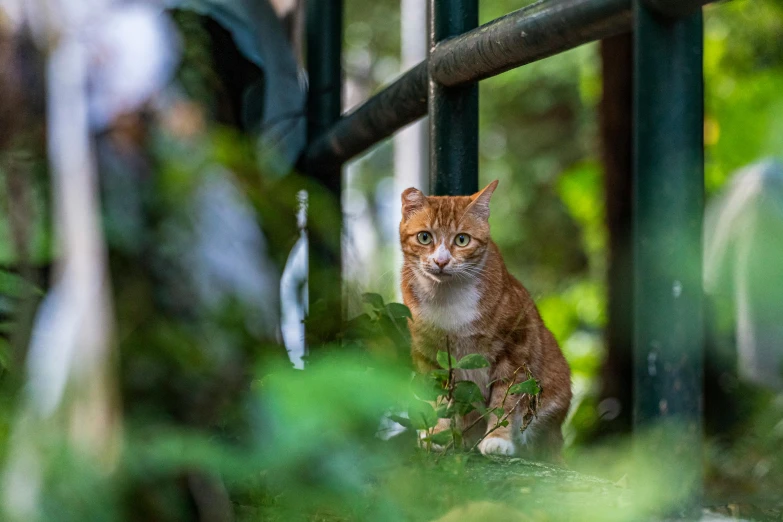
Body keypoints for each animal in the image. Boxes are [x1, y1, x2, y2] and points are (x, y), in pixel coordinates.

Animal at [402, 180, 572, 456]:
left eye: (462, 239)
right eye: (424, 237)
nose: (441, 261)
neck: (448, 298)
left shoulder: (515, 349)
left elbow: (505, 399)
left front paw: (497, 439)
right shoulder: (429, 355)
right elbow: (438, 399)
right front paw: (437, 434)